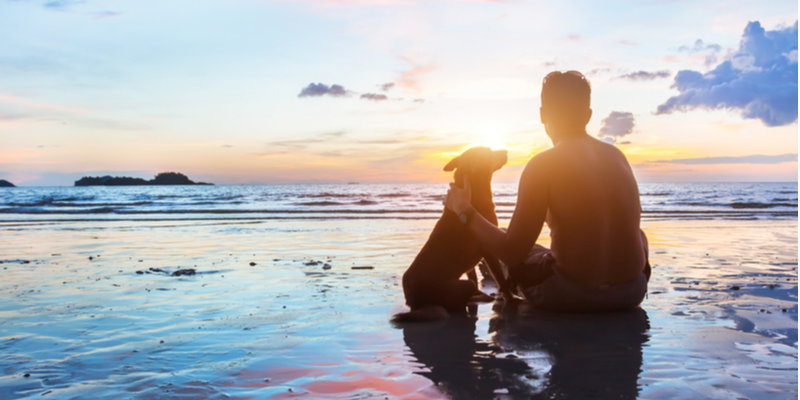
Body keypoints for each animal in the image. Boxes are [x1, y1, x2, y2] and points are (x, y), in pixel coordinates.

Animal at [392, 147, 512, 322]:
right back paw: (481, 297)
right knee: (460, 300)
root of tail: (415, 304)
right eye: (490, 152)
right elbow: (500, 278)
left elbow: (473, 275)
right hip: (456, 288)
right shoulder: (489, 250)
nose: (506, 151)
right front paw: (510, 298)